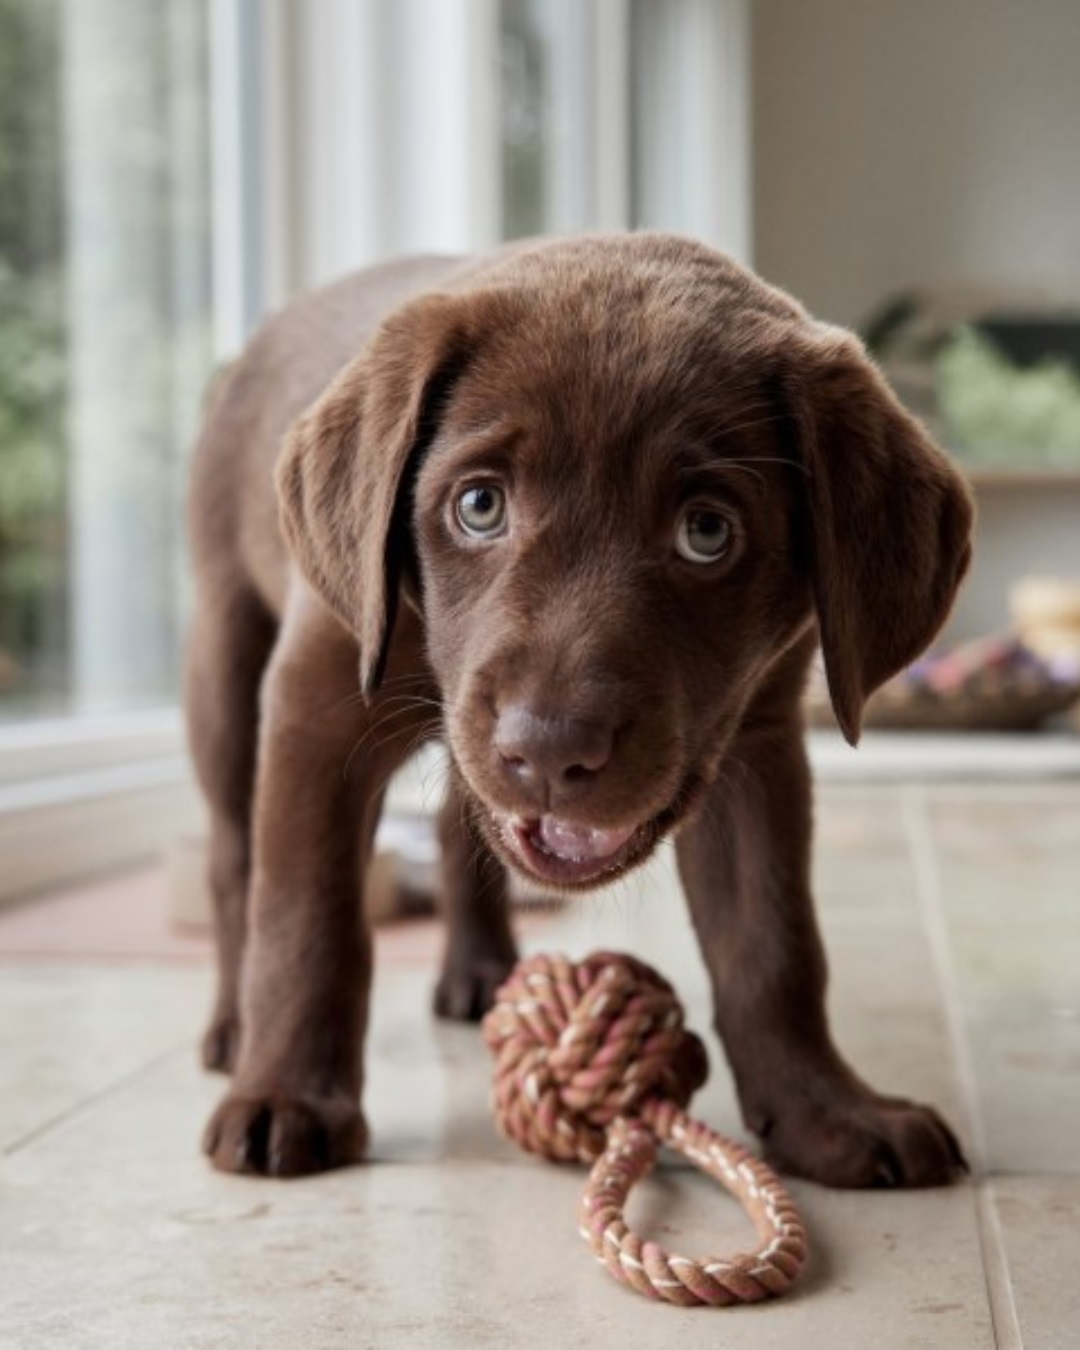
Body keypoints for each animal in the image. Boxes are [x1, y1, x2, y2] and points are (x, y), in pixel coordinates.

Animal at [190, 232, 972, 1182]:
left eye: (706, 531)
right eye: (479, 504)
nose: (551, 752)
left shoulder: (755, 741)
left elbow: (773, 941)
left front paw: (827, 1110)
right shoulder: (315, 701)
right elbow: (304, 915)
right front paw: (288, 1096)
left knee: (457, 822)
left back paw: (479, 970)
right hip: (225, 657)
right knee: (234, 857)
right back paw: (235, 1029)